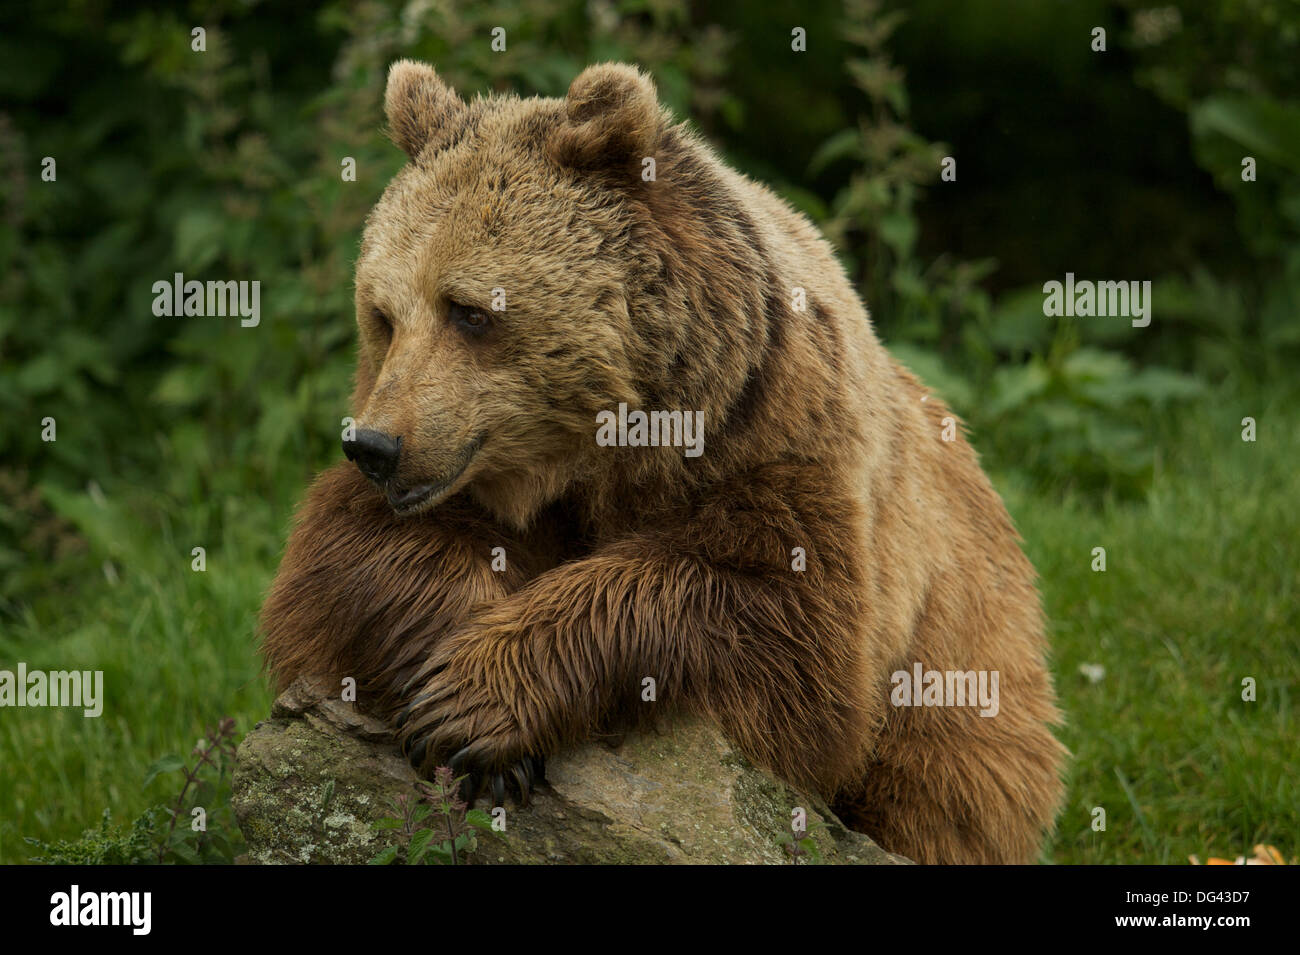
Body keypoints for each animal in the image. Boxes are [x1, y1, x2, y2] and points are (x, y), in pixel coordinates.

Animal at [260, 59, 1067, 865]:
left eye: (469, 311)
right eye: (383, 315)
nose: (376, 446)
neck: (601, 450)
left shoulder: (775, 445)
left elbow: (769, 617)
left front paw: (474, 699)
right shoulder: (446, 475)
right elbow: (357, 549)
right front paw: (454, 704)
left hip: (961, 643)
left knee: (943, 788)